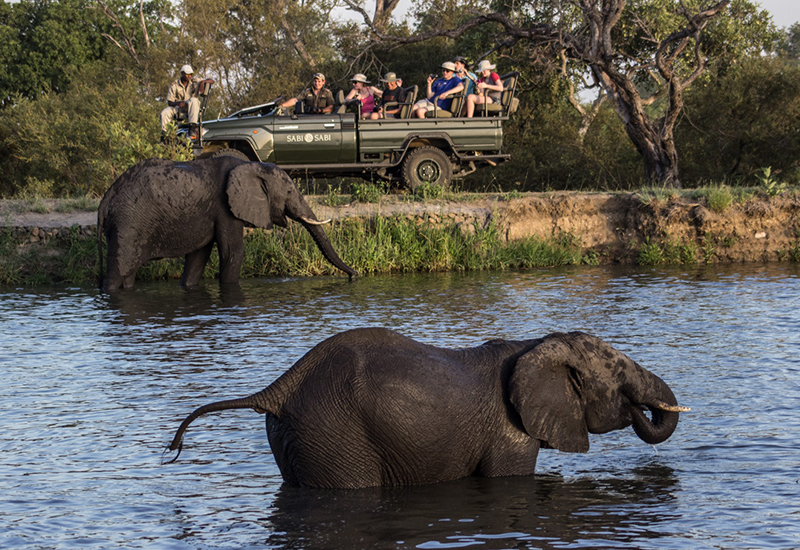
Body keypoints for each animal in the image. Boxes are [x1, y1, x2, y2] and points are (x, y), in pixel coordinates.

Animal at [95, 156, 354, 294]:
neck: (251, 166)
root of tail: (105, 199)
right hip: (128, 223)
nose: (354, 275)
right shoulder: (225, 207)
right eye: (289, 192)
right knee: (116, 274)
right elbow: (232, 252)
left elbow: (198, 257)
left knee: (128, 273)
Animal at [166, 330, 692, 490]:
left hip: (297, 434)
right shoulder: (510, 435)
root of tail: (281, 385)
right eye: (618, 374)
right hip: (335, 433)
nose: (640, 408)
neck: (537, 344)